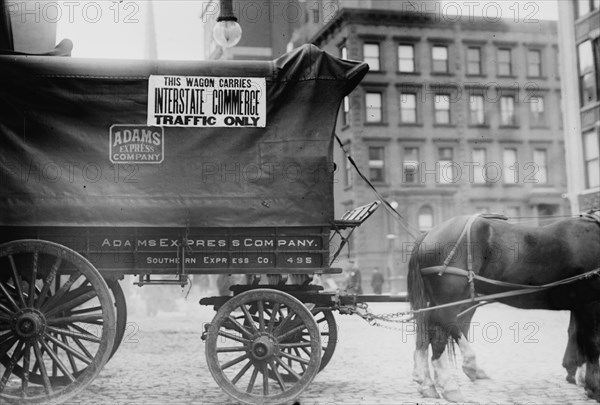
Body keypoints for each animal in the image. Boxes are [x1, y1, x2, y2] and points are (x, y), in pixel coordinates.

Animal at [408, 211, 600, 400]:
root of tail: (429, 234)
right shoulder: (590, 304)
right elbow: (592, 342)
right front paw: (593, 387)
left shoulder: (580, 305)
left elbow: (579, 336)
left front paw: (582, 378)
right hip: (450, 300)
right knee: (443, 327)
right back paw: (452, 383)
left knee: (429, 327)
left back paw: (428, 383)